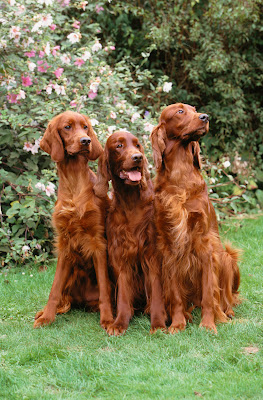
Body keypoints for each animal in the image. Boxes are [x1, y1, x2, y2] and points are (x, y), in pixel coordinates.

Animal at [94, 130, 166, 334]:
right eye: (119, 146)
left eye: (138, 145)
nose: (138, 157)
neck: (131, 203)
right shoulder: (122, 255)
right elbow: (124, 296)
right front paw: (119, 323)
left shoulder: (152, 256)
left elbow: (157, 293)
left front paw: (158, 323)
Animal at [151, 101, 241, 332]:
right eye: (180, 111)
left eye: (194, 109)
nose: (205, 117)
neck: (180, 176)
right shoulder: (170, 247)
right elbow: (175, 295)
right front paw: (177, 324)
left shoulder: (205, 244)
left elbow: (210, 293)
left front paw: (209, 325)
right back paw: (188, 315)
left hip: (226, 257)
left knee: (225, 298)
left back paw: (226, 313)